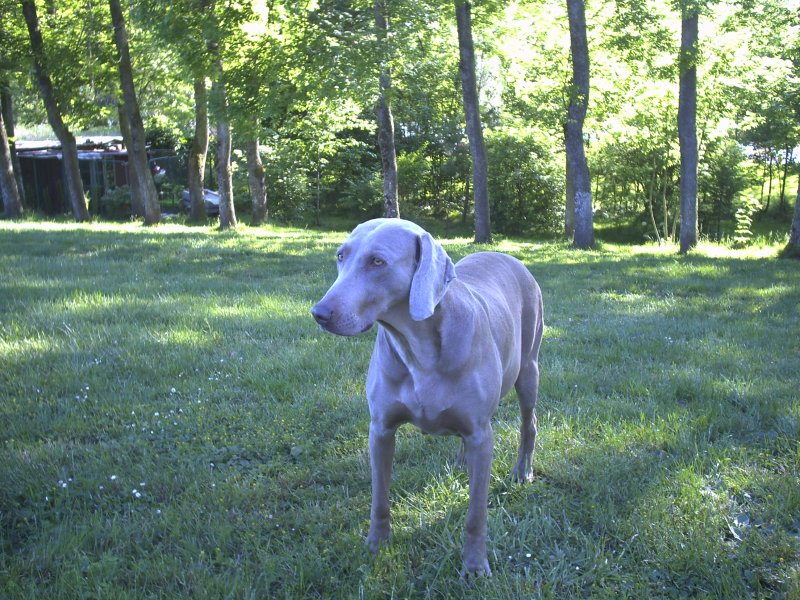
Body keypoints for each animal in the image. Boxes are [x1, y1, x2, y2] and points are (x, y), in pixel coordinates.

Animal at [312, 218, 544, 576]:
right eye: (340, 256)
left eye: (377, 261)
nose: (319, 313)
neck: (418, 347)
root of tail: (505, 254)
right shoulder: (380, 429)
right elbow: (379, 497)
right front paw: (376, 546)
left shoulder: (482, 433)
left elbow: (476, 513)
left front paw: (474, 566)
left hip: (529, 368)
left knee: (528, 422)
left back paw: (522, 471)